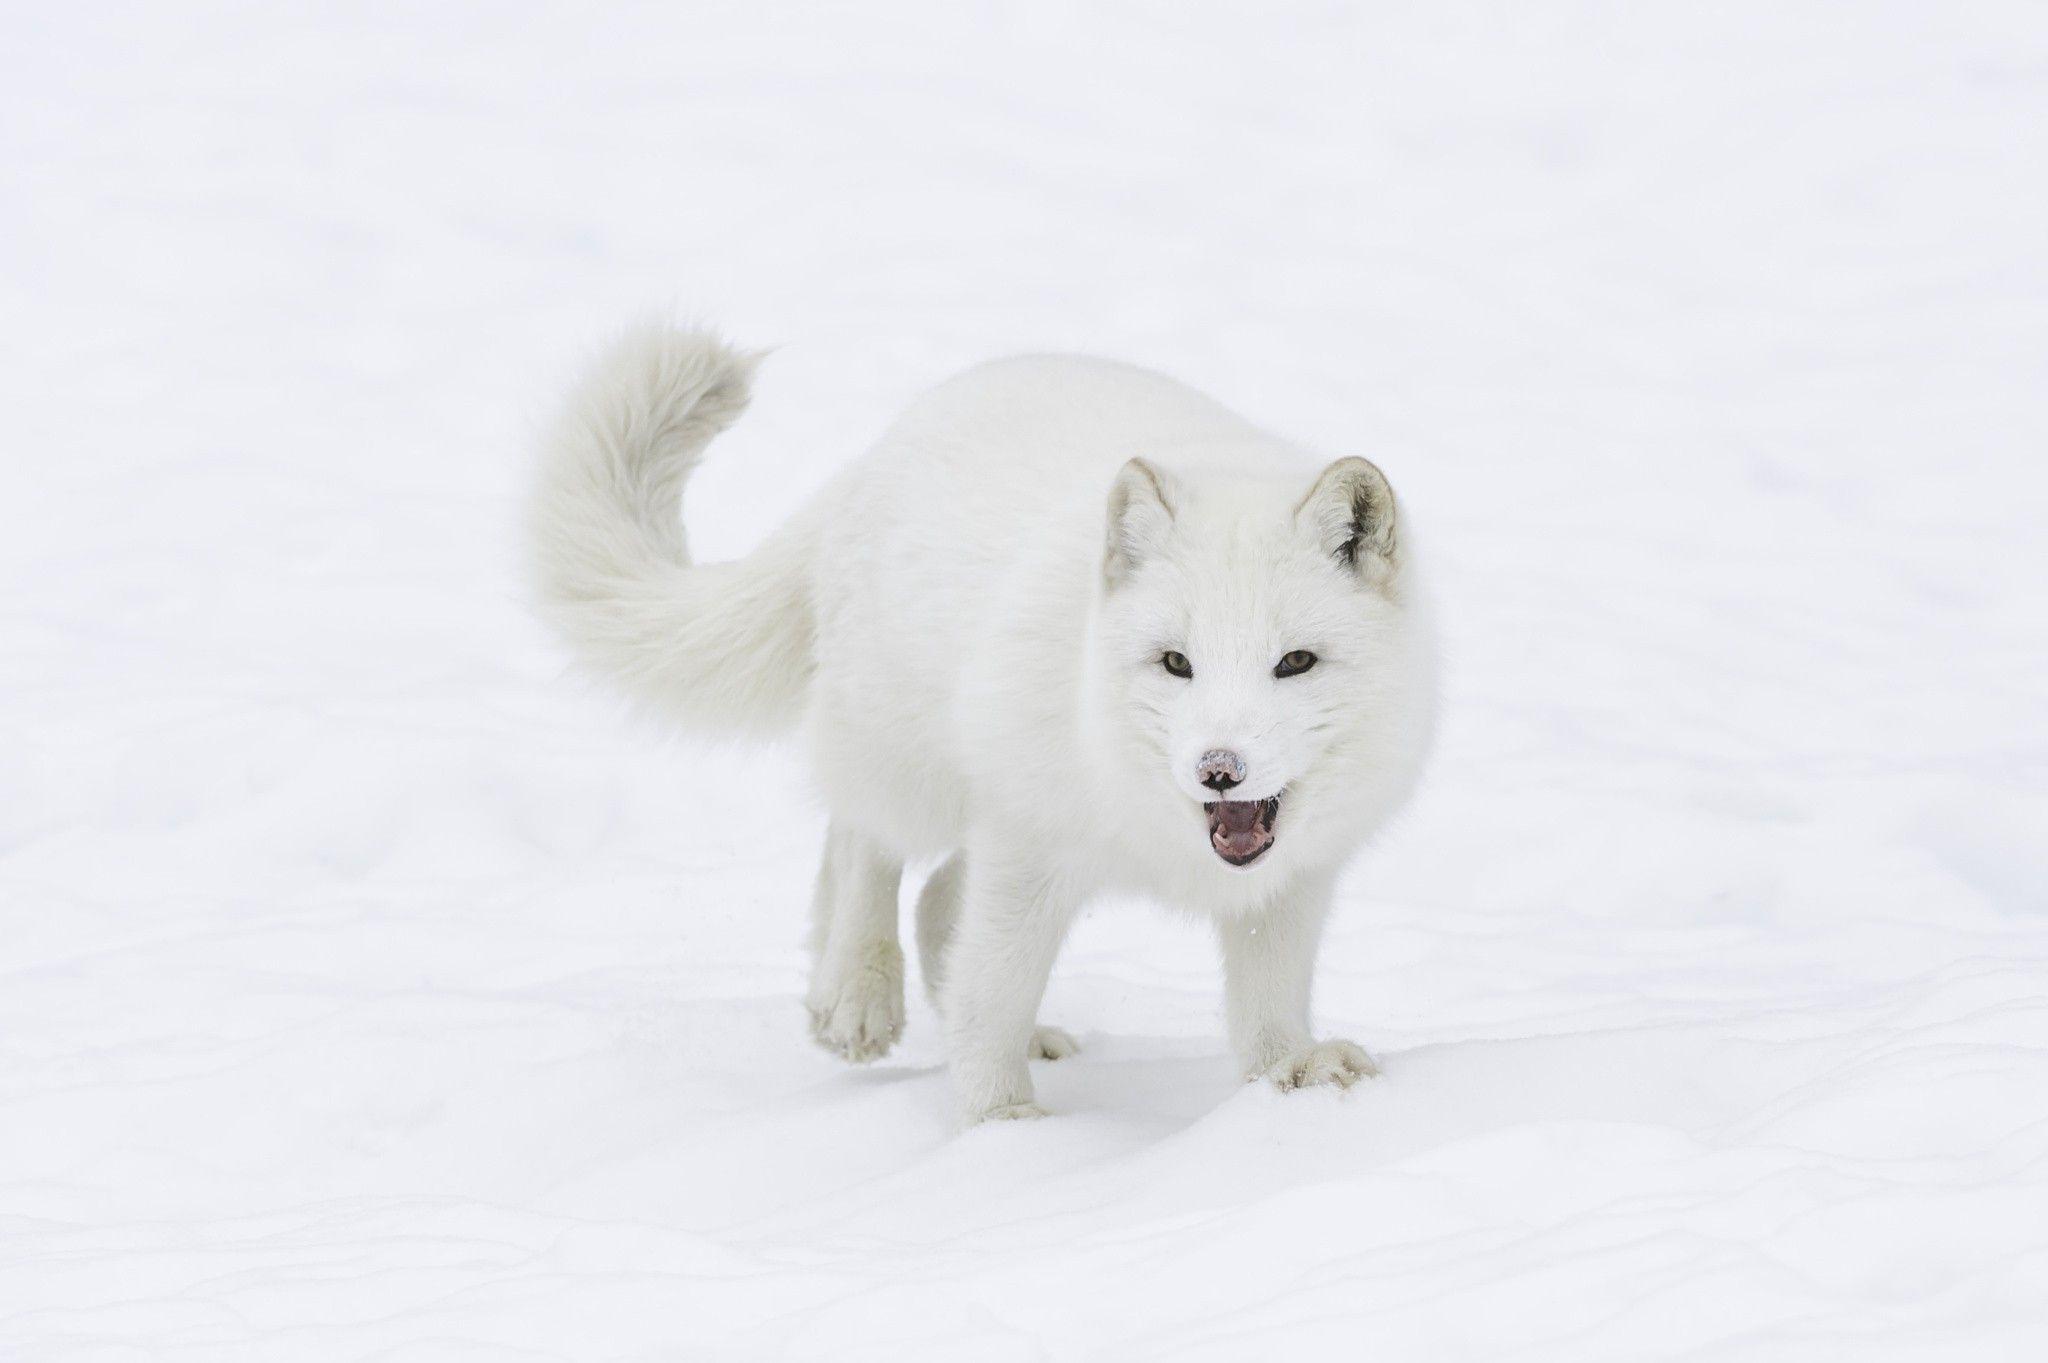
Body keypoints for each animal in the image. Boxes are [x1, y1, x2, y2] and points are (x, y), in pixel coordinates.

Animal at [529, 323, 1436, 1122]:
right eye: (1177, 662)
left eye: (1295, 662)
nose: (1219, 769)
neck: (1157, 830)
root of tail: (866, 461)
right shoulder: (1027, 847)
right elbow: (990, 988)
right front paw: (1002, 1126)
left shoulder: (1289, 881)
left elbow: (1267, 1003)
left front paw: (1289, 1077)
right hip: (910, 764)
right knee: (861, 844)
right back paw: (856, 995)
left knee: (934, 900)